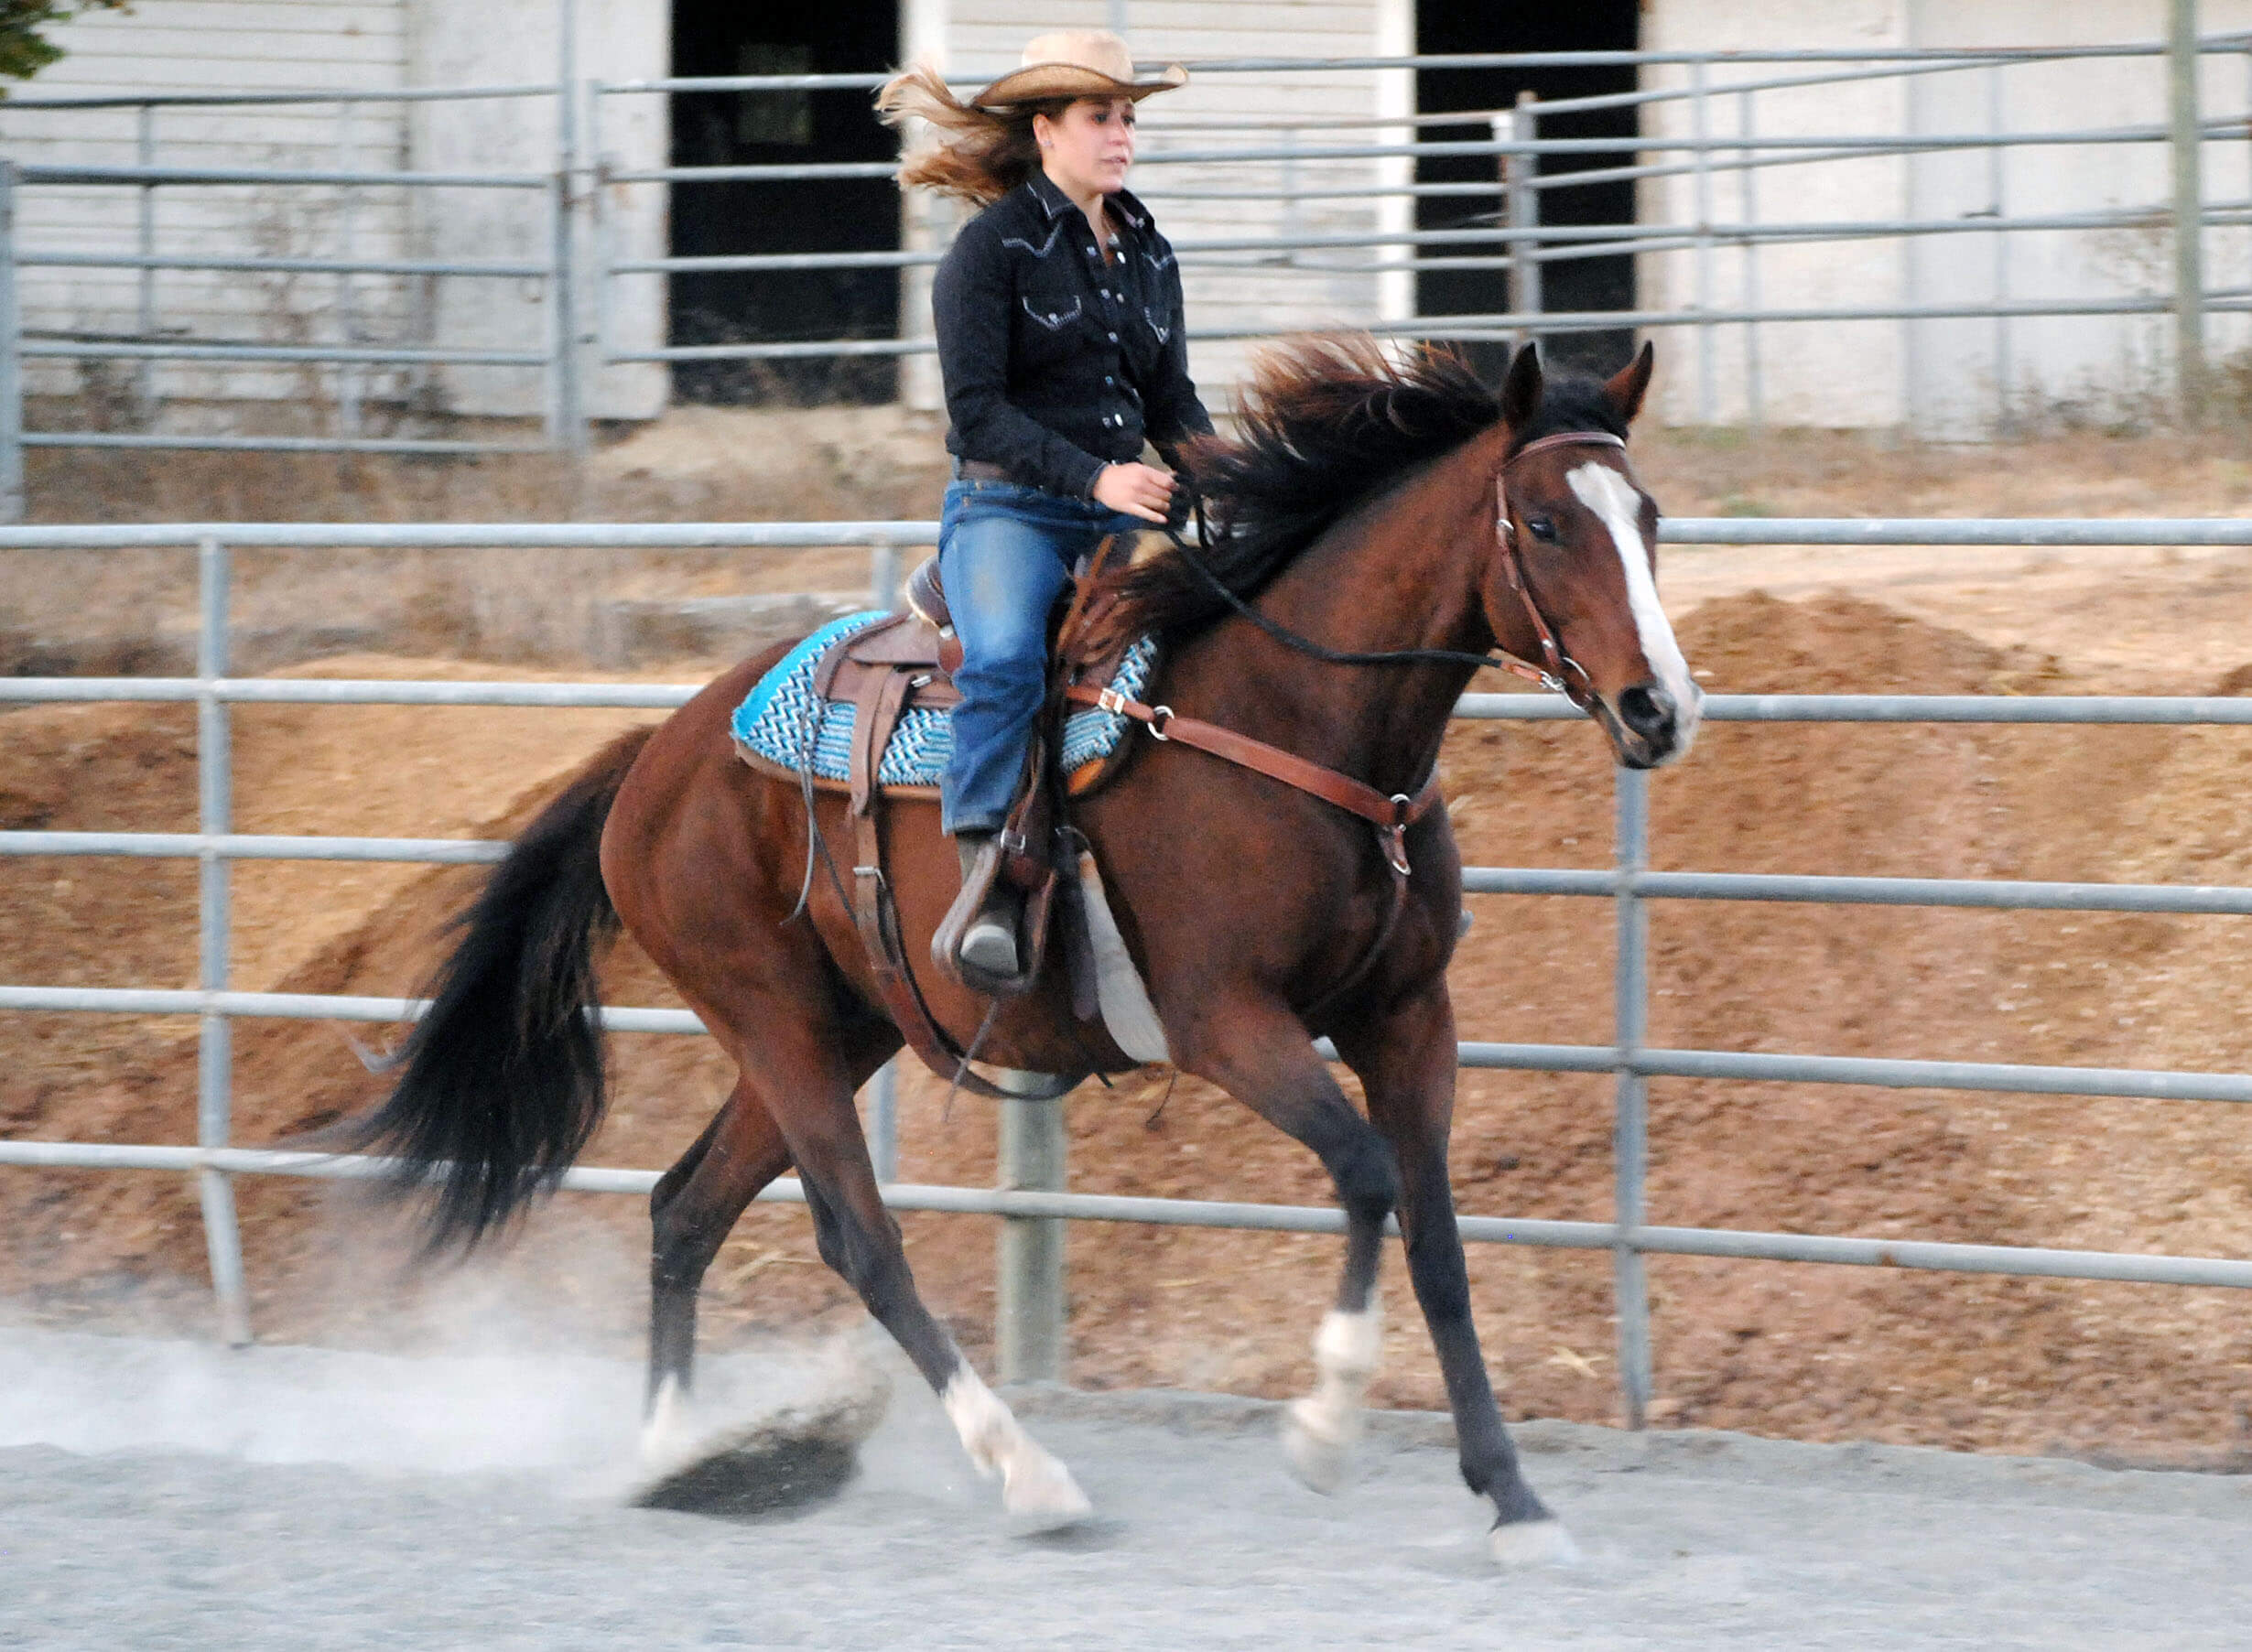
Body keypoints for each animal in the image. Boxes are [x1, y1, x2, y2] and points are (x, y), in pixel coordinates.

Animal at [350, 333, 1701, 1567]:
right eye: (1542, 522)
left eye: (1646, 515)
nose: (1660, 708)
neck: (1295, 725)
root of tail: (655, 755)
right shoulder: (1226, 1022)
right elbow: (1367, 1176)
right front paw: (1324, 1426)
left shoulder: (1410, 1016)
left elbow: (1439, 1243)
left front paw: (1516, 1499)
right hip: (772, 1021)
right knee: (860, 1239)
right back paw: (1026, 1473)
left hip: (840, 1028)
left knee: (684, 1211)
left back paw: (682, 1456)